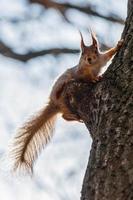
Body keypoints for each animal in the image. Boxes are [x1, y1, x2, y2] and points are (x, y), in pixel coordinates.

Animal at [9, 29, 123, 173]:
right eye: (82, 53)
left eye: (95, 51)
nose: (89, 58)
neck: (92, 65)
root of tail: (55, 104)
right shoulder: (80, 72)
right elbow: (85, 77)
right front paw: (94, 79)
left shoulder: (102, 59)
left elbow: (108, 55)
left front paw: (118, 45)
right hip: (63, 96)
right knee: (64, 115)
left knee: (64, 115)